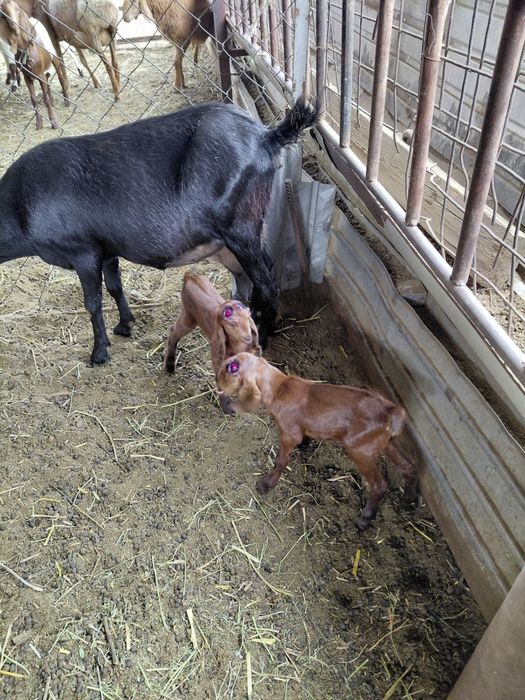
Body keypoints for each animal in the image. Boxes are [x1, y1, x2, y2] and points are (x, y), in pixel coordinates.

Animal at [0, 98, 318, 365]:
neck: (18, 204)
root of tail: (267, 136)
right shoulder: (107, 250)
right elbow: (115, 287)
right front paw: (125, 324)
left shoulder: (83, 252)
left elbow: (92, 303)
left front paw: (99, 352)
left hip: (240, 230)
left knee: (267, 284)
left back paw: (261, 337)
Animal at [164, 271, 261, 414]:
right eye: (228, 317)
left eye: (248, 316)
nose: (248, 337)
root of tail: (191, 276)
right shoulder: (220, 361)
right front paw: (227, 408)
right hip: (189, 317)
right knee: (173, 332)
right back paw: (170, 366)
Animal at [217, 353, 419, 531]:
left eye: (232, 368)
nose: (217, 383)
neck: (280, 388)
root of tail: (390, 411)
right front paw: (305, 445)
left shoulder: (288, 432)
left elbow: (281, 460)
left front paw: (265, 485)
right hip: (386, 442)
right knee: (408, 467)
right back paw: (408, 502)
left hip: (360, 449)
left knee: (380, 484)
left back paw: (365, 520)